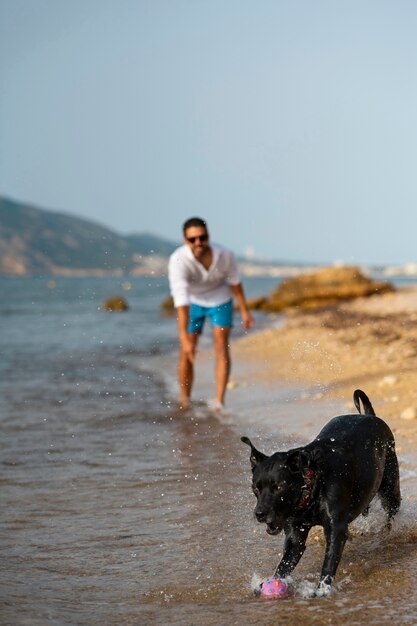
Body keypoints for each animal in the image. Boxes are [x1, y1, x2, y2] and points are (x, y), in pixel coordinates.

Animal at [240, 386, 400, 596]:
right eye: (255, 488)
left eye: (279, 487)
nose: (259, 513)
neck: (312, 485)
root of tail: (370, 416)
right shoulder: (295, 536)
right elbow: (285, 563)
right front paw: (269, 583)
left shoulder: (336, 530)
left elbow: (329, 562)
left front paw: (322, 590)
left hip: (390, 489)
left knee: (391, 514)